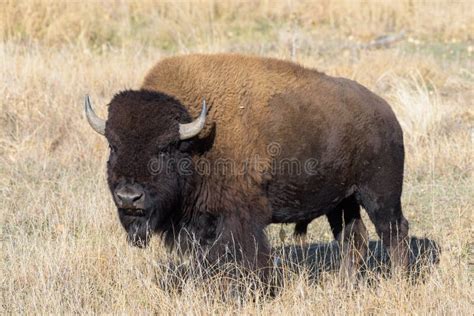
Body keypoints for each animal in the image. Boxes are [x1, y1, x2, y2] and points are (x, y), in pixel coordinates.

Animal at [86, 53, 412, 276]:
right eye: (113, 145)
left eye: (165, 148)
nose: (129, 197)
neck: (196, 143)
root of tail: (387, 114)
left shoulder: (238, 218)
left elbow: (241, 255)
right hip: (342, 202)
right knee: (353, 238)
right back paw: (344, 283)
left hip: (379, 194)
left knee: (394, 231)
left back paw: (398, 280)